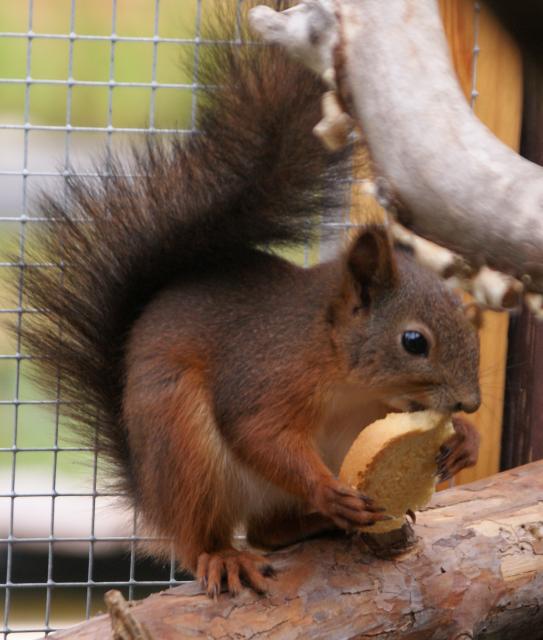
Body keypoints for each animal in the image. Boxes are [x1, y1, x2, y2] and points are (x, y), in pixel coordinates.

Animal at [20, 1, 481, 597]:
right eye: (413, 341)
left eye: (469, 327)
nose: (471, 402)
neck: (339, 366)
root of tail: (149, 491)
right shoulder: (267, 372)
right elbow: (256, 432)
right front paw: (327, 491)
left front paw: (465, 439)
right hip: (182, 445)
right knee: (204, 537)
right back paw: (231, 553)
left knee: (270, 531)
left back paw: (317, 525)